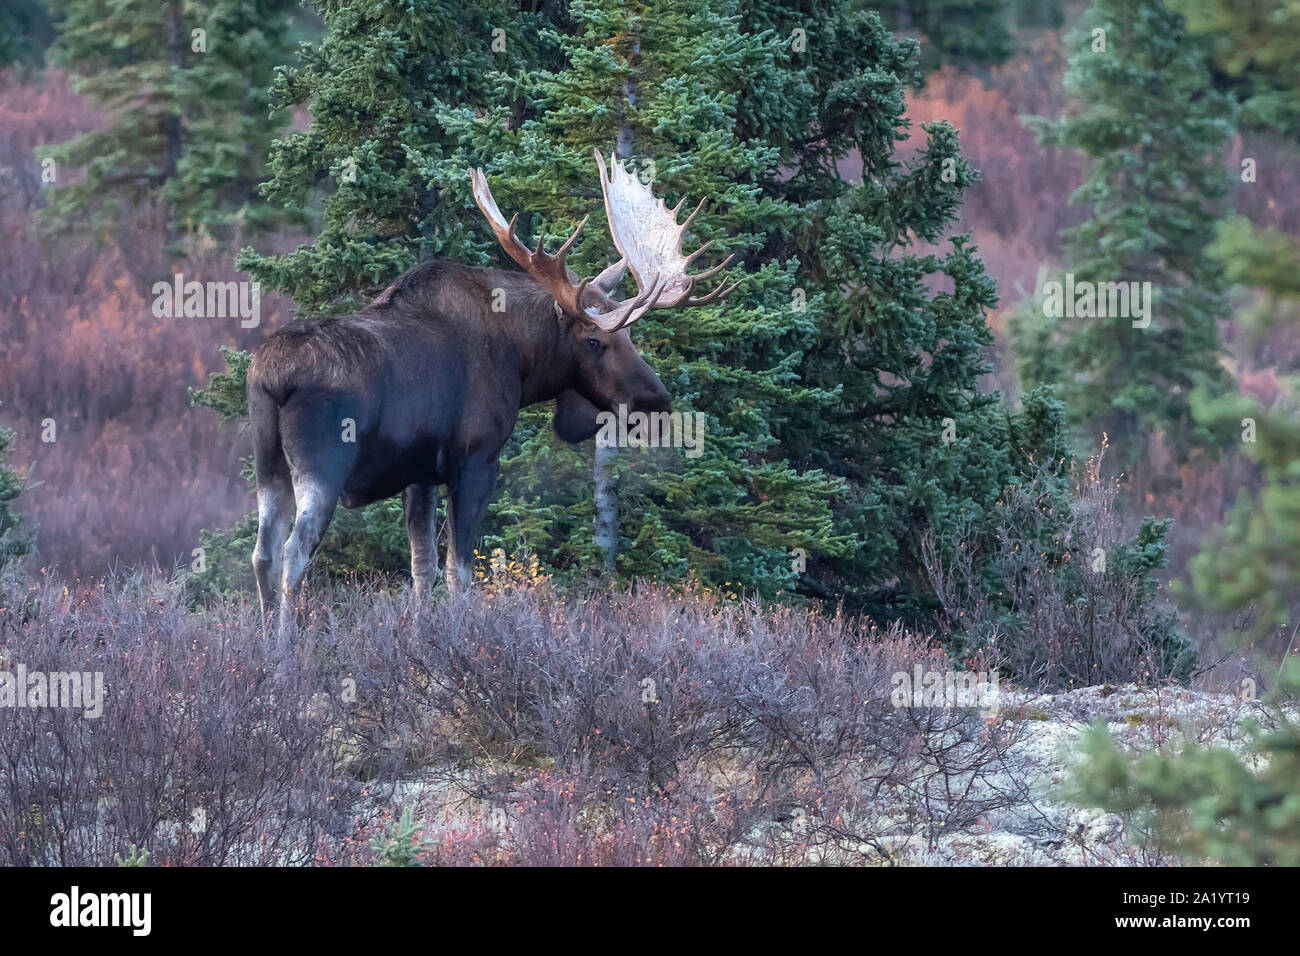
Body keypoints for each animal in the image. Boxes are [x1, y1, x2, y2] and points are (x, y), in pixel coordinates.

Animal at [248, 151, 738, 634]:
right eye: (595, 340)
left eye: (631, 335)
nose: (656, 401)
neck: (521, 361)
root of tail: (270, 376)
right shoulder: (477, 459)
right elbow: (460, 571)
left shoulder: (420, 473)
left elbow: (422, 566)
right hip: (323, 466)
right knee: (294, 552)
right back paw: (289, 643)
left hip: (269, 467)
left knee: (263, 553)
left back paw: (266, 641)